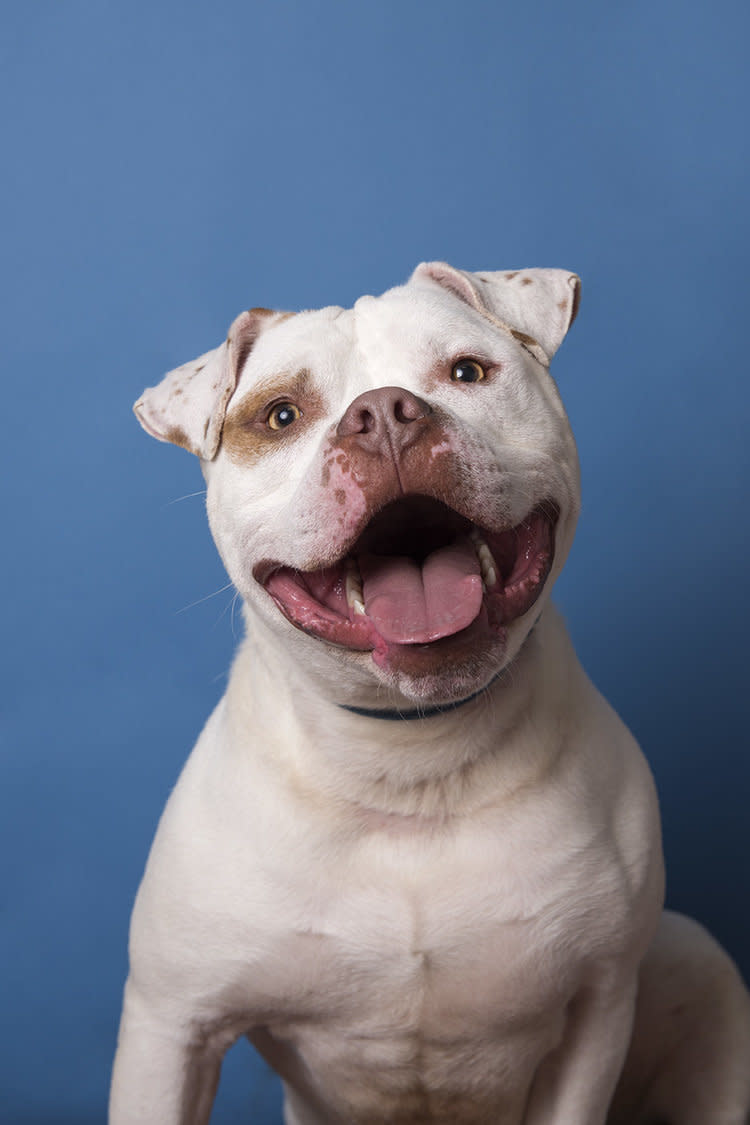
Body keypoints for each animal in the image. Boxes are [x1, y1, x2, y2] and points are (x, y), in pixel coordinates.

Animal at [110, 258, 750, 1120]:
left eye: (467, 372)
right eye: (281, 415)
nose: (382, 413)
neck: (410, 757)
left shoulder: (598, 1009)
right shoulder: (174, 1026)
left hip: (695, 959)